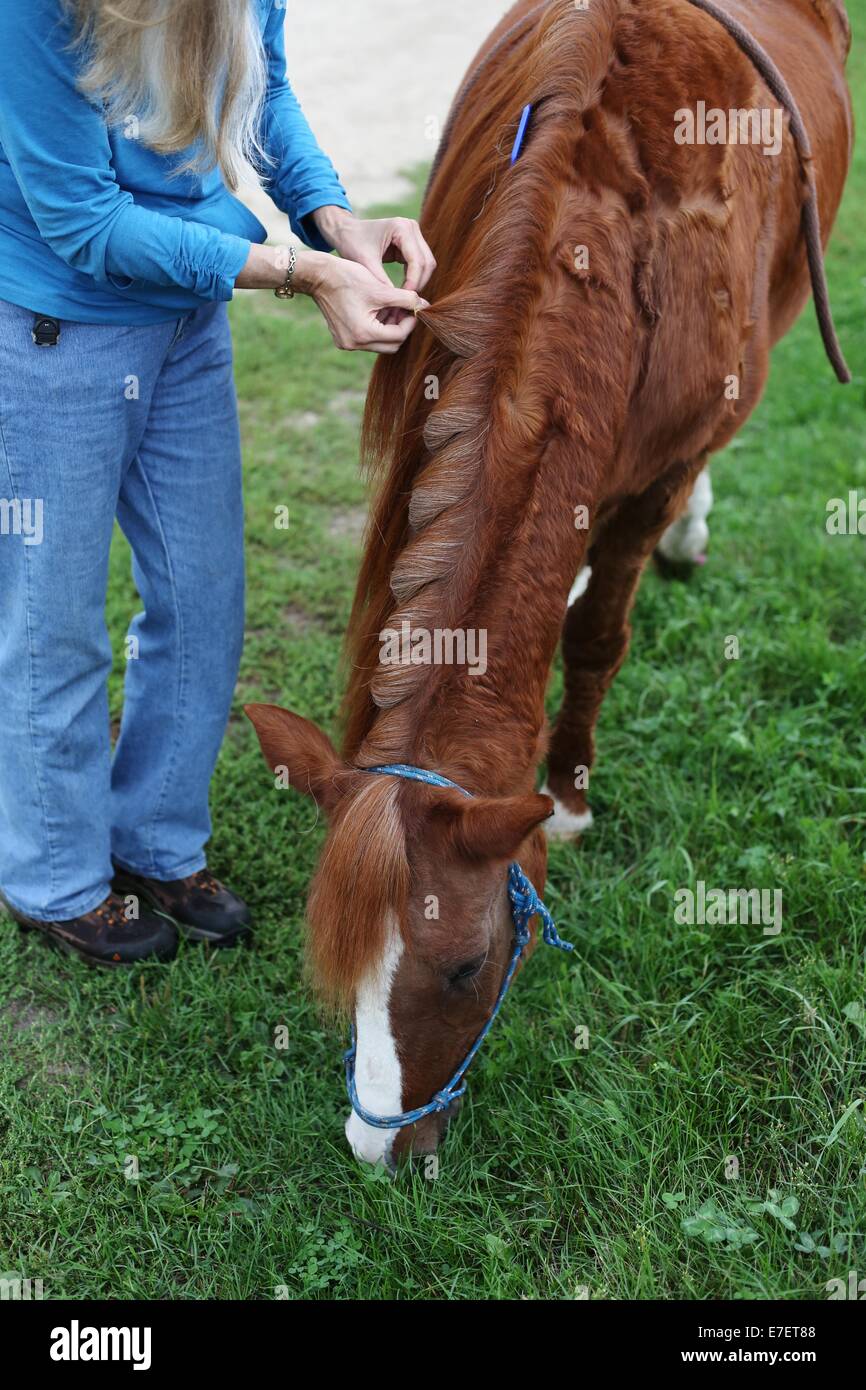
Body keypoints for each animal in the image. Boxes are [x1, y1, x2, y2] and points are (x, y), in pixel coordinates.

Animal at [247, 0, 852, 1168]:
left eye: (466, 968)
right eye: (341, 973)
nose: (377, 1149)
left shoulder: (655, 470)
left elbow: (600, 637)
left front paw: (566, 790)